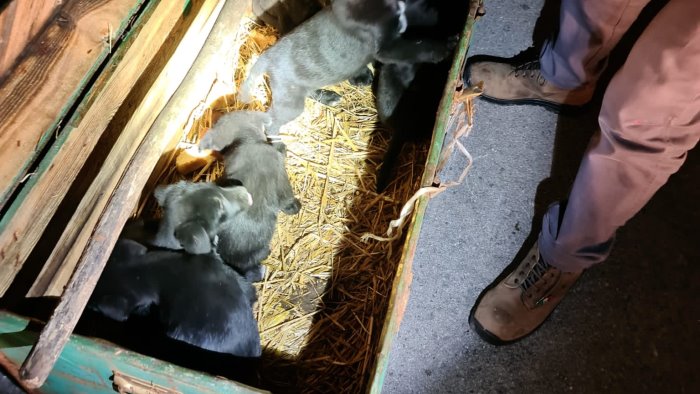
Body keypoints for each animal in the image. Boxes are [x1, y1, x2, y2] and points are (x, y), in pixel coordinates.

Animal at [237, 0, 454, 135]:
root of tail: (267, 56)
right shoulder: (386, 47)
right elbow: (417, 47)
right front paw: (444, 47)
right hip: (290, 99)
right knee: (272, 120)